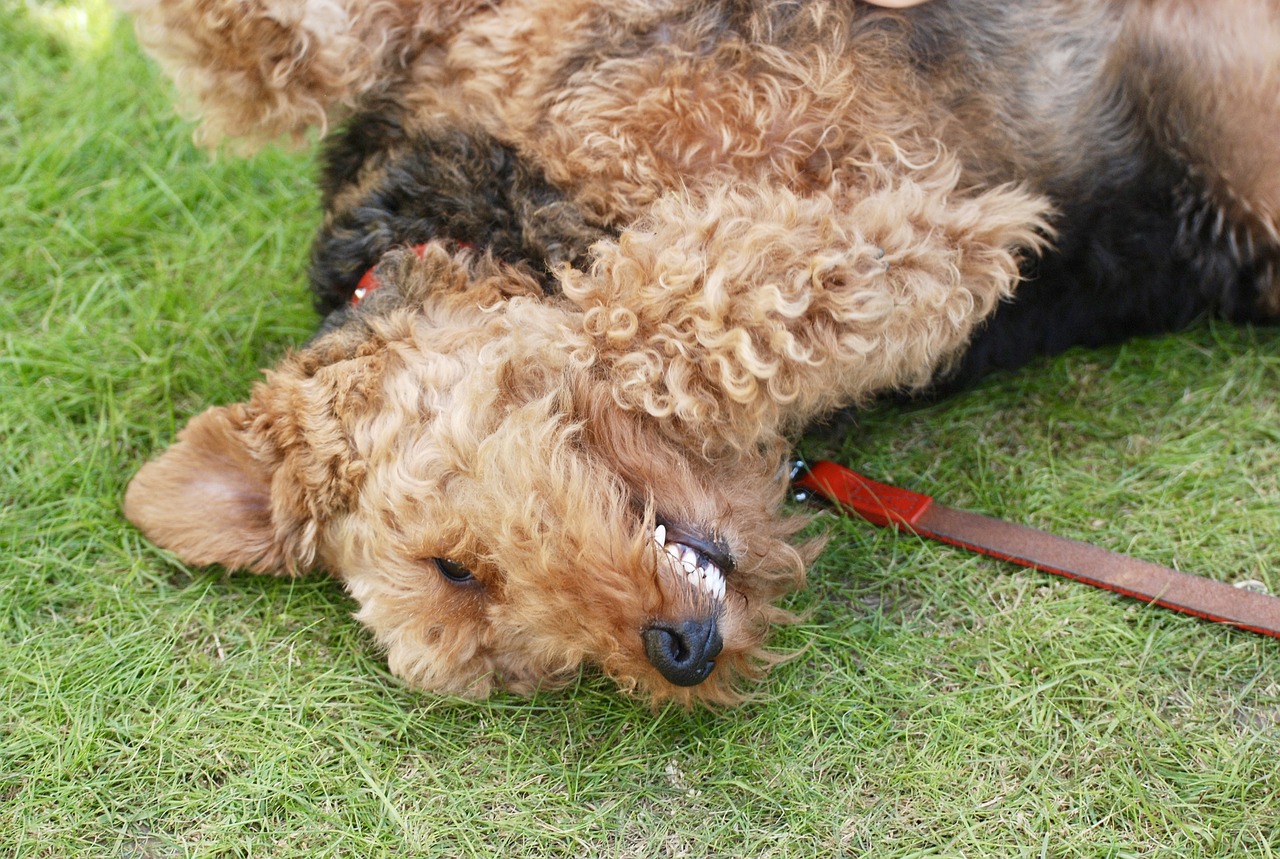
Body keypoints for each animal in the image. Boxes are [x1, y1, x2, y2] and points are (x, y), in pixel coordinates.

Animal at [120, 0, 1280, 706]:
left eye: (452, 566)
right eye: (503, 641)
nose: (681, 655)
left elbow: (272, 54)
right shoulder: (929, 239)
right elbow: (712, 302)